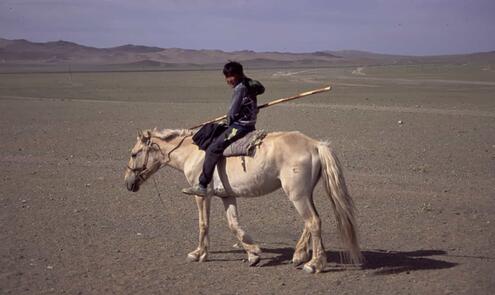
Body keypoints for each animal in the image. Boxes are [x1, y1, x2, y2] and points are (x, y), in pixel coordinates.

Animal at [125, 128, 364, 274]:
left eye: (134, 153)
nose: (128, 183)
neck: (194, 153)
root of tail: (315, 144)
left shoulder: (201, 195)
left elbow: (203, 224)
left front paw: (198, 254)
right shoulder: (227, 196)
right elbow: (233, 225)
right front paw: (253, 254)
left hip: (296, 194)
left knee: (313, 221)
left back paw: (314, 264)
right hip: (304, 193)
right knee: (312, 221)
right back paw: (299, 256)